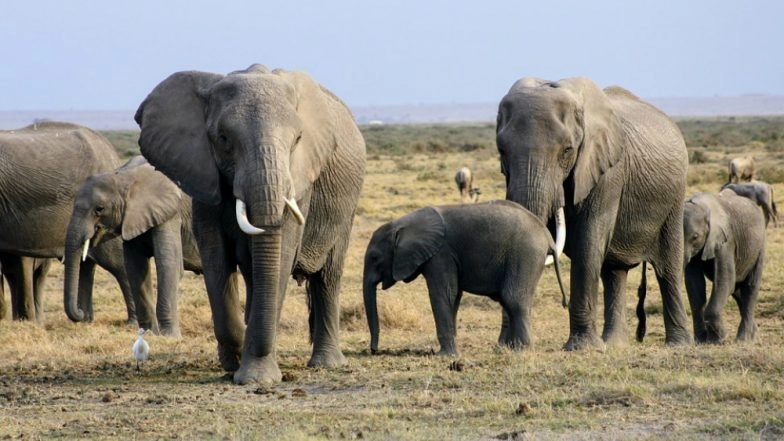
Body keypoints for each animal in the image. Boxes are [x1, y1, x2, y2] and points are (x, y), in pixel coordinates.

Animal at [64, 156, 202, 337]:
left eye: (99, 209)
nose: (80, 313)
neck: (124, 177)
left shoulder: (170, 213)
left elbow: (168, 265)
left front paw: (169, 337)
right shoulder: (132, 219)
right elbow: (135, 268)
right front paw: (148, 334)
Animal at [135, 64, 366, 384]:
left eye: (298, 139)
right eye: (223, 139)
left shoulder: (300, 179)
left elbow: (282, 254)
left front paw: (256, 377)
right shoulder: (203, 175)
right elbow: (216, 257)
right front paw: (234, 360)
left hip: (347, 206)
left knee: (328, 276)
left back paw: (326, 364)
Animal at [363, 200, 567, 356]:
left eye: (375, 258)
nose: (374, 350)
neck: (403, 224)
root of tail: (547, 237)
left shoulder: (440, 254)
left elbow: (442, 294)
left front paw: (444, 356)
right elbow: (453, 297)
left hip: (525, 255)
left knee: (513, 299)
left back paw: (521, 351)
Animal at [495, 77, 692, 350]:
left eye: (567, 151)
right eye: (502, 151)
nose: (511, 344)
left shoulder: (607, 171)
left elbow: (588, 245)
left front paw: (582, 348)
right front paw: (507, 346)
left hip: (674, 197)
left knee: (668, 268)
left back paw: (678, 345)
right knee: (614, 272)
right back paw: (615, 345)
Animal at [682, 190, 766, 342]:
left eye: (695, 237)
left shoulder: (726, 241)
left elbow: (724, 281)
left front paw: (718, 339)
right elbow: (694, 284)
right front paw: (701, 341)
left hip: (759, 246)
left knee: (750, 287)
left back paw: (743, 339)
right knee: (737, 291)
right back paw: (754, 336)